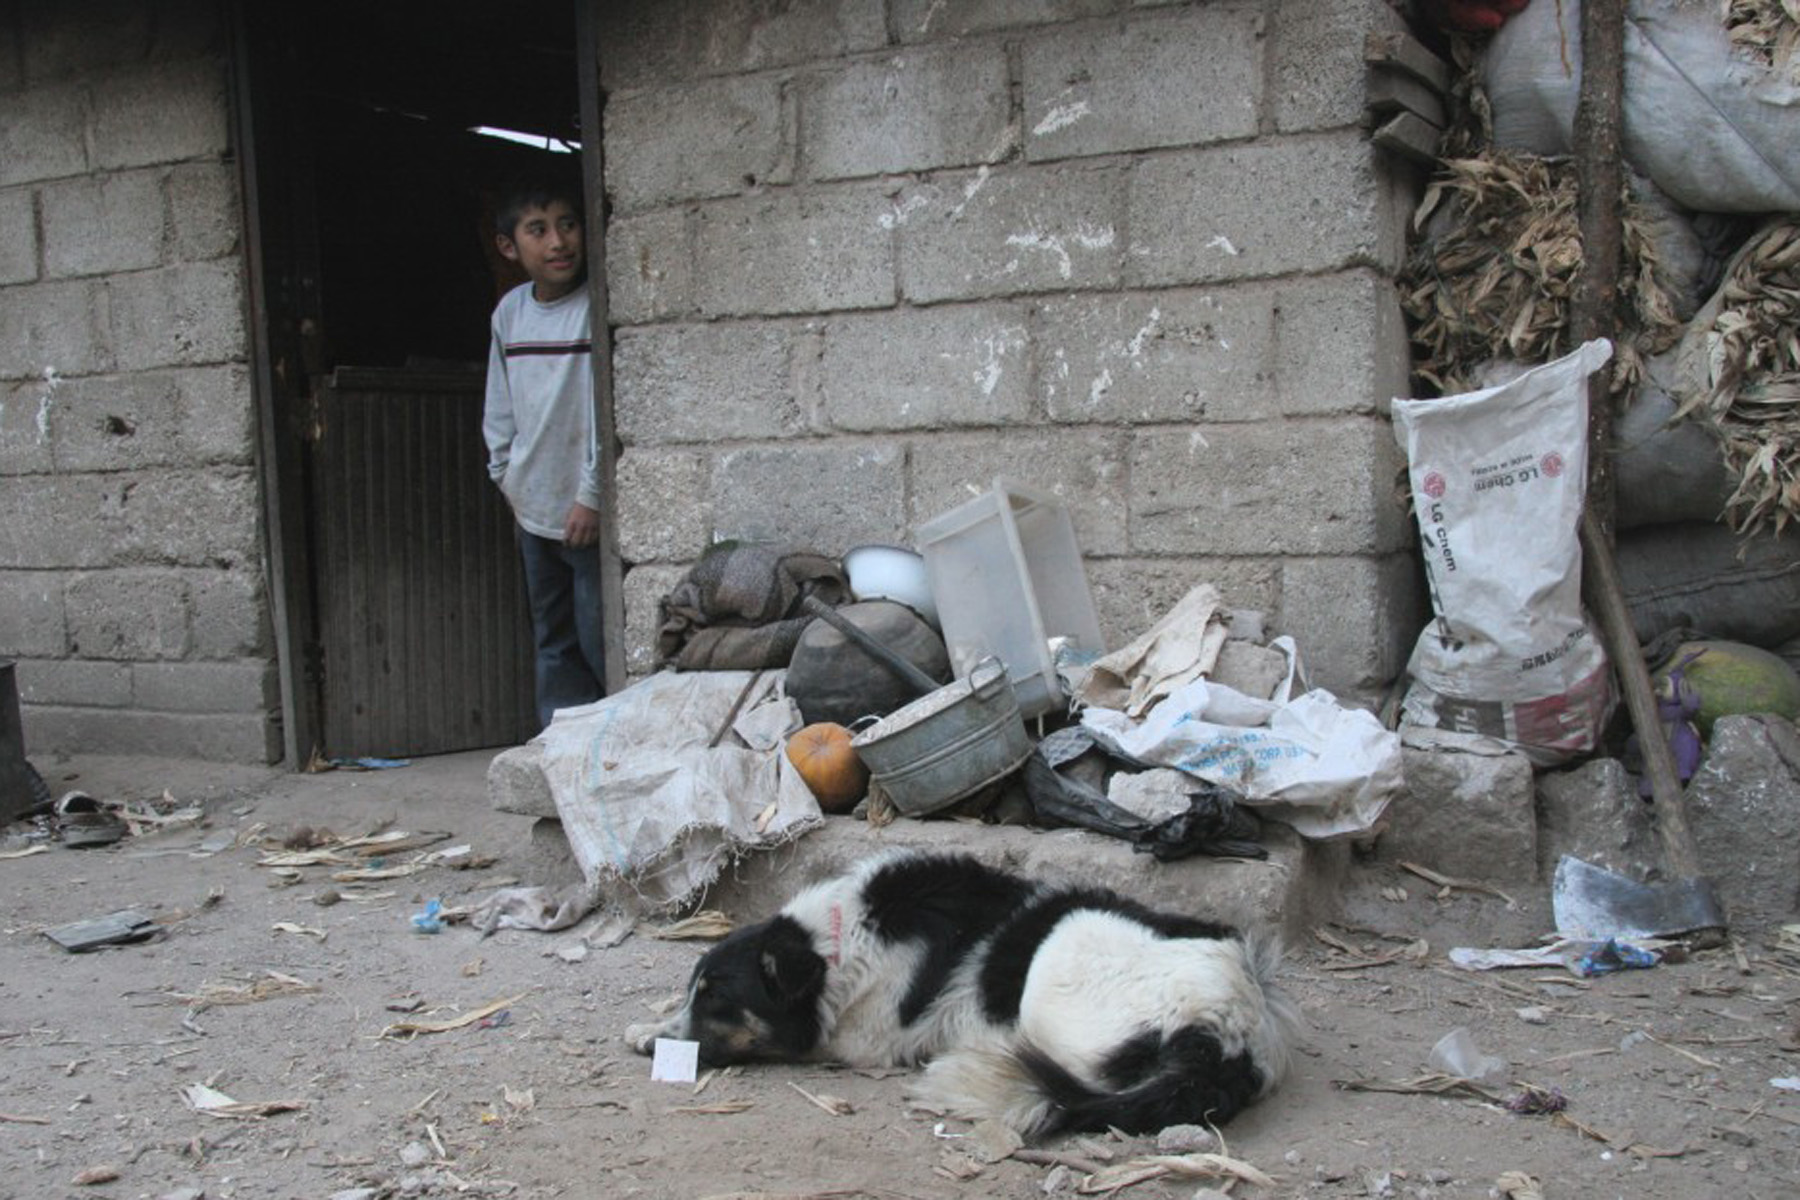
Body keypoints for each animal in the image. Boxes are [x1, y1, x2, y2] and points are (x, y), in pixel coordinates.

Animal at [625, 849, 1299, 1139]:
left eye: (718, 1001)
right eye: (698, 992)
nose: (662, 1047)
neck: (837, 943)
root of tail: (1227, 1034)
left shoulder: (857, 1039)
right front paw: (646, 1025)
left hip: (1055, 966)